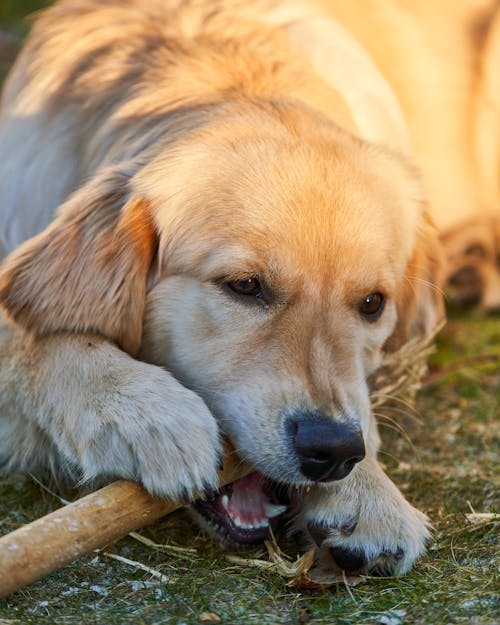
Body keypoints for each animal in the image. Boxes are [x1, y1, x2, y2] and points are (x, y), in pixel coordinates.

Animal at [0, 0, 484, 576]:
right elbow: (30, 343)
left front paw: (370, 495)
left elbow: (362, 406)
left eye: (372, 303)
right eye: (245, 285)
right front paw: (149, 415)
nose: (333, 451)